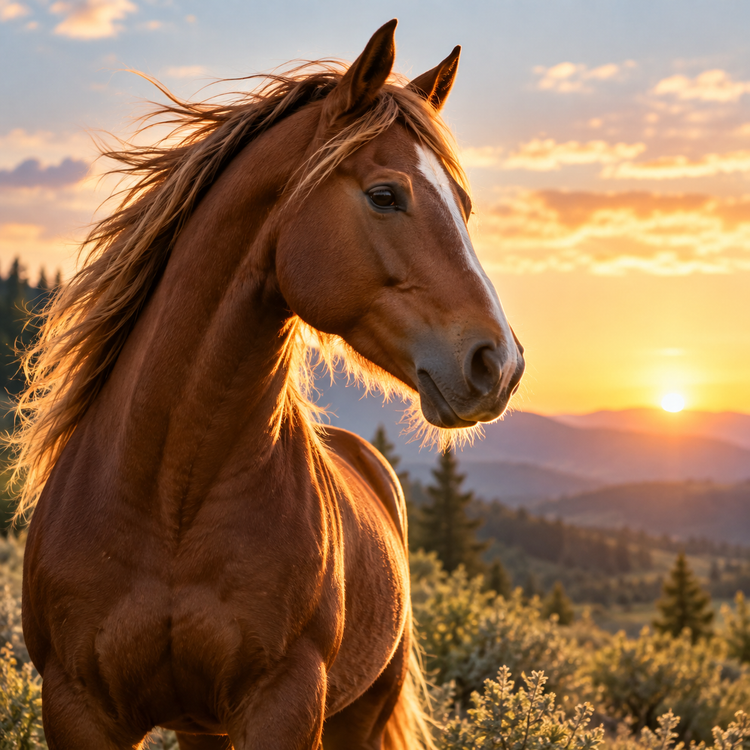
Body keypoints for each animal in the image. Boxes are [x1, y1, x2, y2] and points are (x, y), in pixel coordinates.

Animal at [14, 20, 524, 750]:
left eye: (464, 206)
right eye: (385, 195)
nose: (499, 363)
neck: (168, 497)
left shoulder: (285, 702)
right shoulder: (76, 706)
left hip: (359, 712)